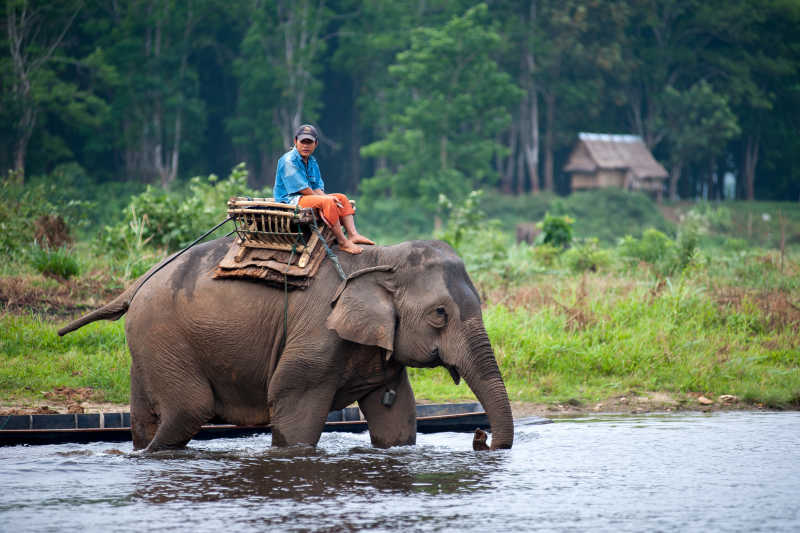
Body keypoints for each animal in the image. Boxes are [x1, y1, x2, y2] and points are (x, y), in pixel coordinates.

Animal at [61, 239, 512, 450]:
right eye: (440, 314)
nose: (480, 437)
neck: (381, 258)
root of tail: (136, 284)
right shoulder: (317, 332)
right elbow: (291, 400)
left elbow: (396, 415)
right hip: (164, 336)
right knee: (189, 409)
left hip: (149, 345)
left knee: (147, 417)